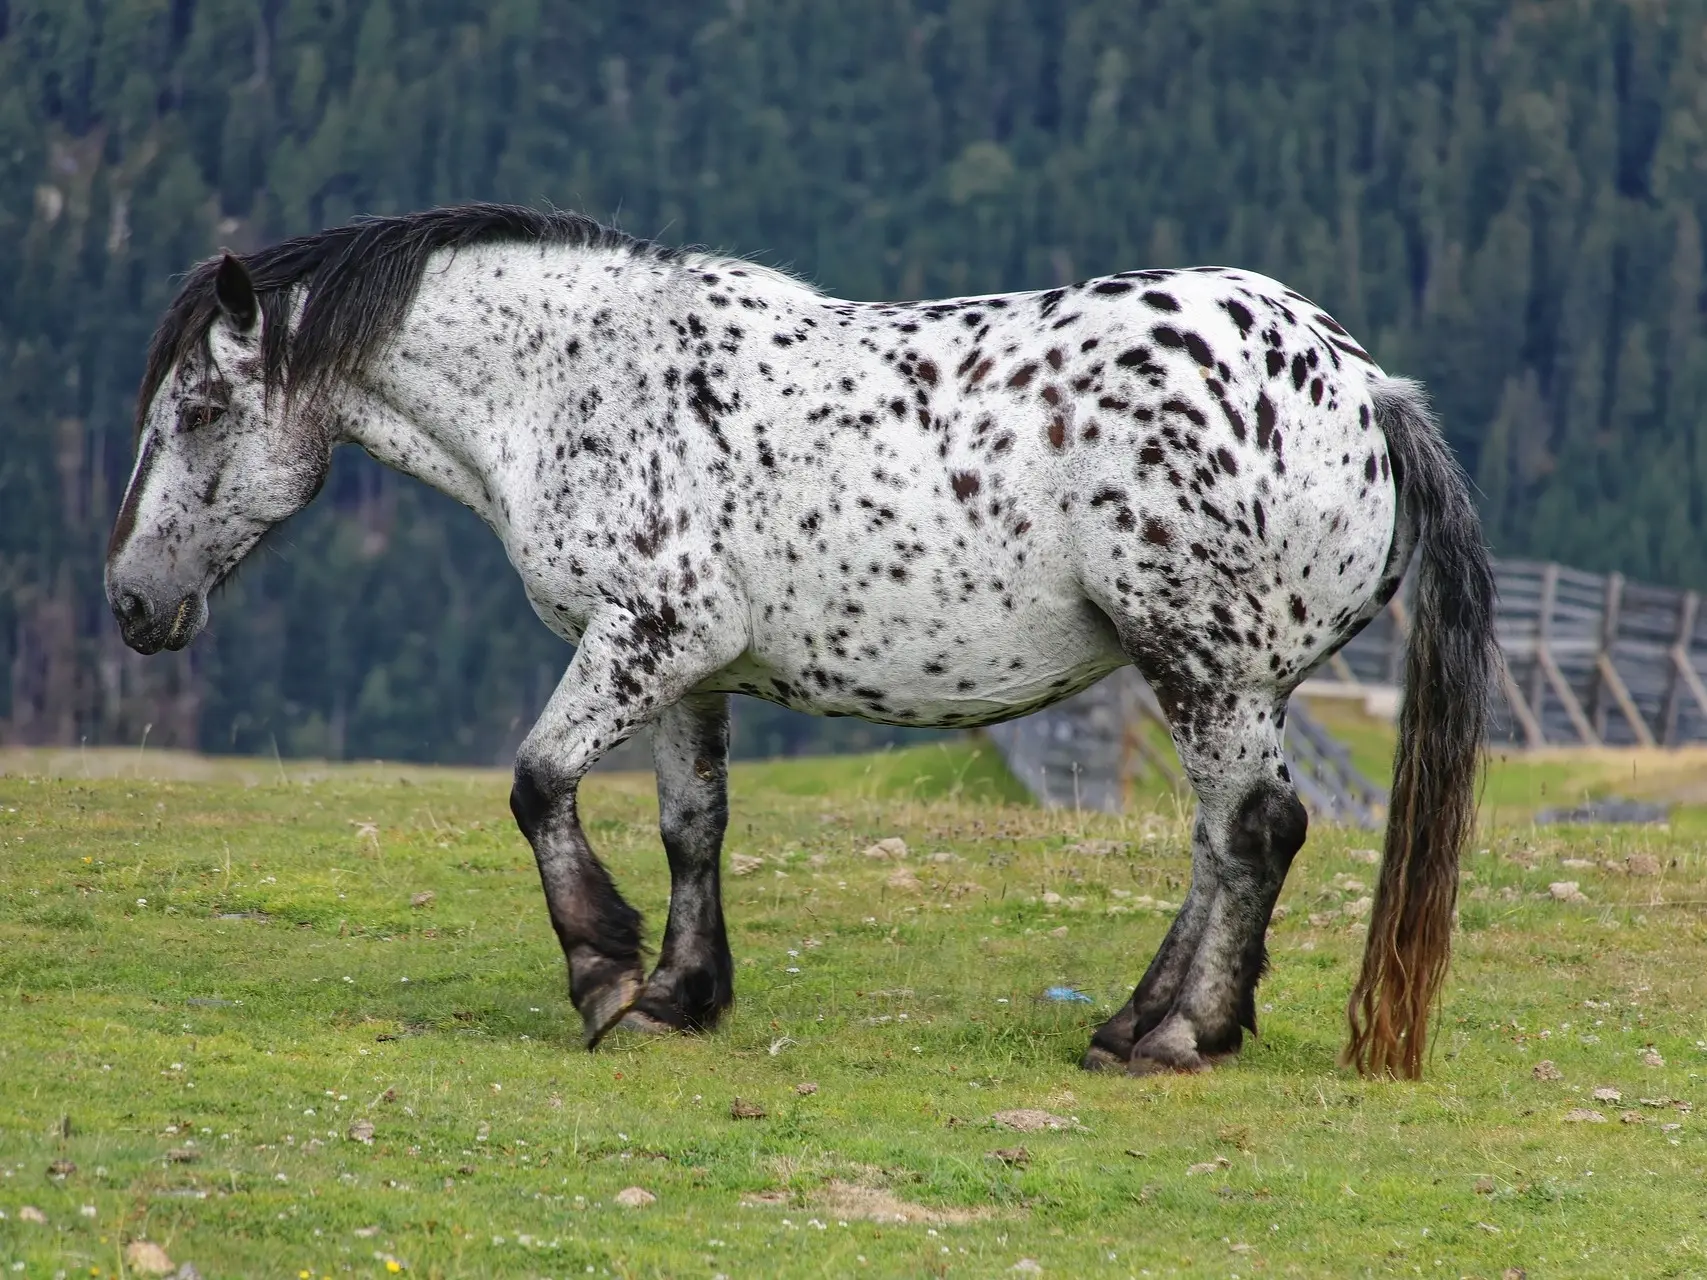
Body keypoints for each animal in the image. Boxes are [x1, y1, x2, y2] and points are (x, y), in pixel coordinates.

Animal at [106, 203, 1495, 1085]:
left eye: (202, 407)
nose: (130, 602)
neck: (578, 380)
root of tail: (1366, 388)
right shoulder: (685, 668)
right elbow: (692, 825)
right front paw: (681, 993)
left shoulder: (647, 633)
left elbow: (538, 780)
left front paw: (603, 973)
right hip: (1226, 678)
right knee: (1224, 837)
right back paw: (1140, 1018)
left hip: (1204, 667)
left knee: (1253, 830)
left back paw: (1175, 1035)